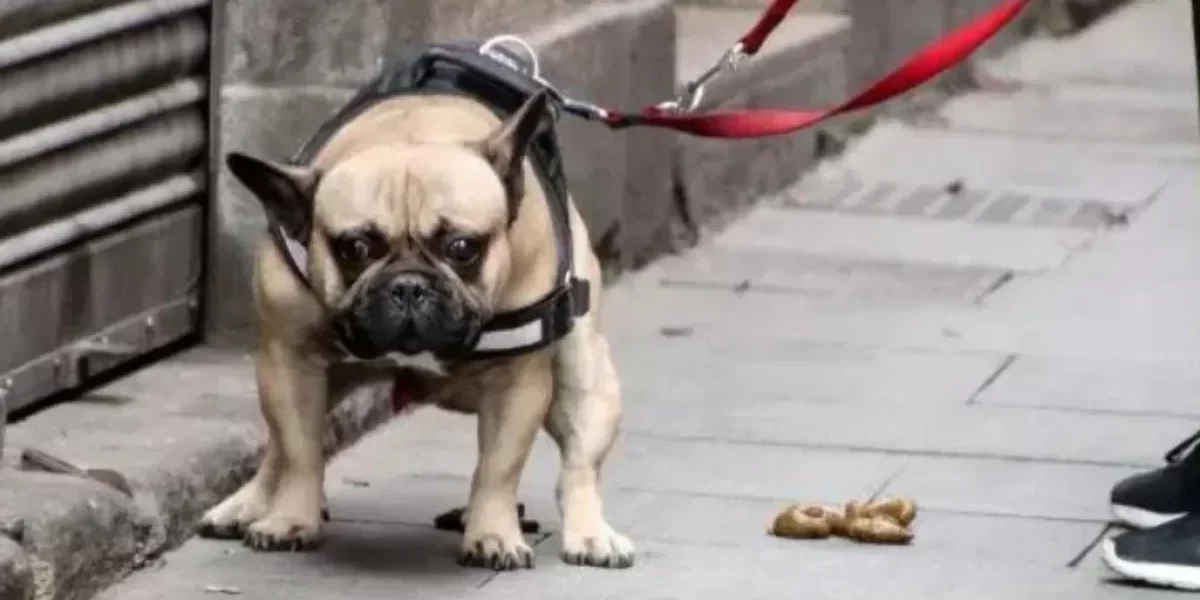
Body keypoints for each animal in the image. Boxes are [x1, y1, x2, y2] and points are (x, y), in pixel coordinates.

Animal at [196, 81, 633, 571]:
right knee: (277, 447)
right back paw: (247, 505)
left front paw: (494, 534)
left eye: (463, 248)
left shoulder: (517, 382)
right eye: (355, 248)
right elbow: (299, 451)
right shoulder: (290, 361)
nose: (408, 286)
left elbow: (498, 468)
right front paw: (290, 518)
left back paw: (592, 536)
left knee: (579, 465)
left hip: (585, 373)